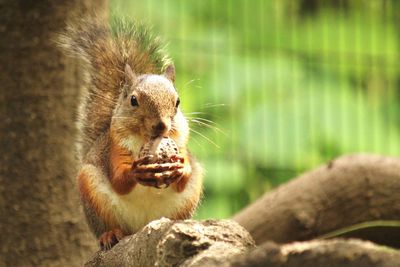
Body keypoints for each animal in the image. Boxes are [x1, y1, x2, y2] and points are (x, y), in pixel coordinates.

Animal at [58, 18, 203, 251]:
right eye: (133, 100)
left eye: (178, 101)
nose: (161, 125)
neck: (146, 139)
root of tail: (140, 228)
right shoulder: (114, 148)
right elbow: (119, 180)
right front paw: (137, 170)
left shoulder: (181, 144)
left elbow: (183, 174)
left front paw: (180, 166)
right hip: (92, 192)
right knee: (109, 226)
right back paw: (110, 235)